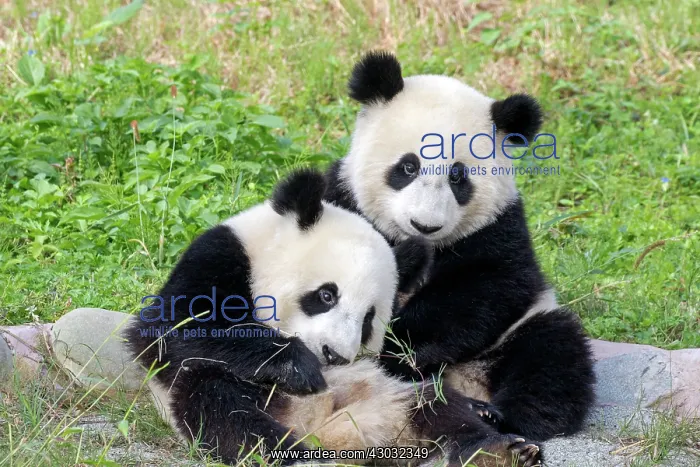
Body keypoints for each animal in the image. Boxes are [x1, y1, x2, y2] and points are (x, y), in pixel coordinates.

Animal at [124, 169, 544, 467]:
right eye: (327, 295)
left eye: (369, 319)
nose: (334, 356)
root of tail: (326, 432)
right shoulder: (223, 256)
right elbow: (169, 328)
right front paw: (298, 365)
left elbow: (405, 358)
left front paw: (483, 408)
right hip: (221, 392)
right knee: (224, 408)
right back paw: (294, 456)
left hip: (386, 394)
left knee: (435, 406)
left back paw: (500, 452)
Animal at [323, 51, 596, 441]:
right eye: (408, 167)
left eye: (458, 177)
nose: (425, 225)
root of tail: (466, 381)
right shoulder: (343, 200)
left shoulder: (500, 228)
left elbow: (489, 288)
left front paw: (407, 346)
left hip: (521, 328)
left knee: (552, 357)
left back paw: (500, 415)